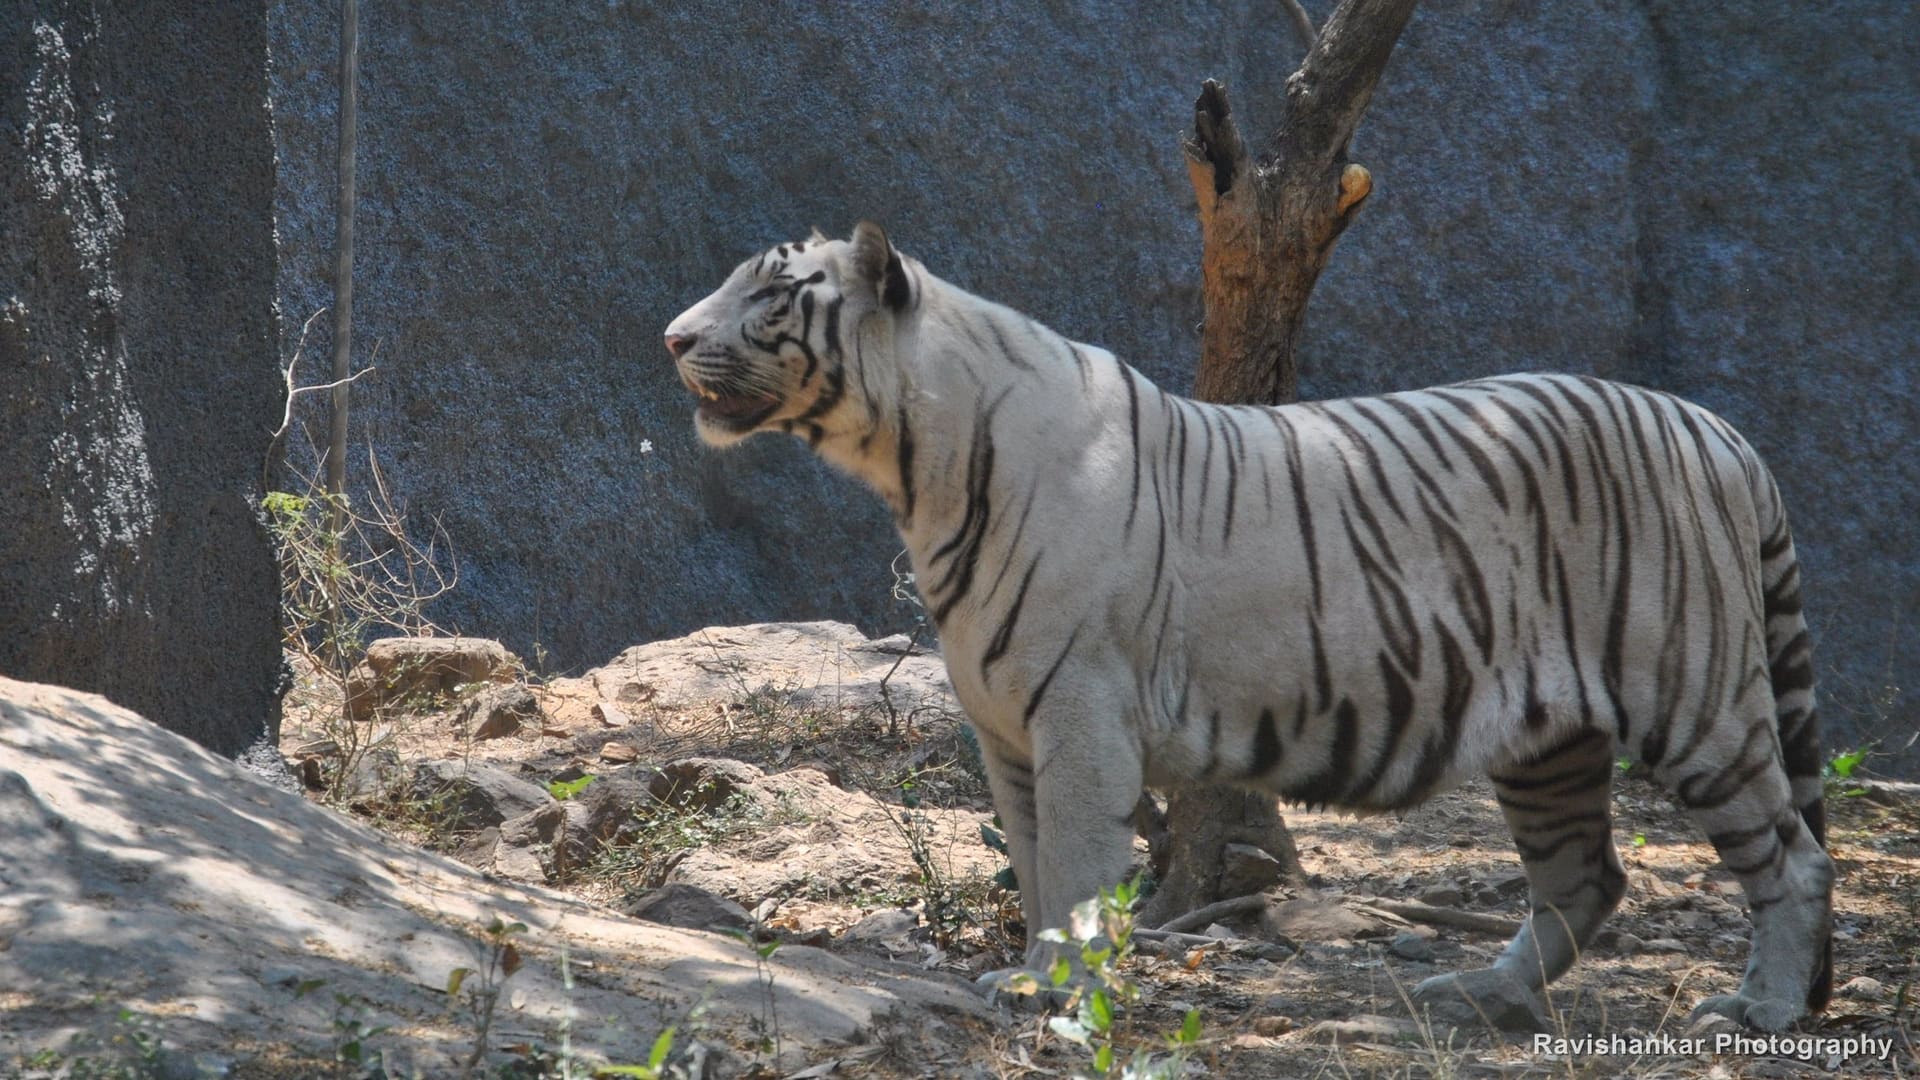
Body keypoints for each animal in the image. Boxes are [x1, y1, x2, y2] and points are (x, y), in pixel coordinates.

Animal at [663, 222, 1833, 1032]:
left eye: (769, 292)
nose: (671, 336)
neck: (916, 468)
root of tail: (1719, 430)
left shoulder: (1078, 716)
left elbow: (1075, 868)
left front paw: (1058, 991)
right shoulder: (1007, 732)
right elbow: (1034, 868)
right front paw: (1036, 976)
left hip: (1696, 702)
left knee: (1795, 858)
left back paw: (1760, 1008)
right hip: (1549, 738)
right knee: (1586, 877)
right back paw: (1480, 994)